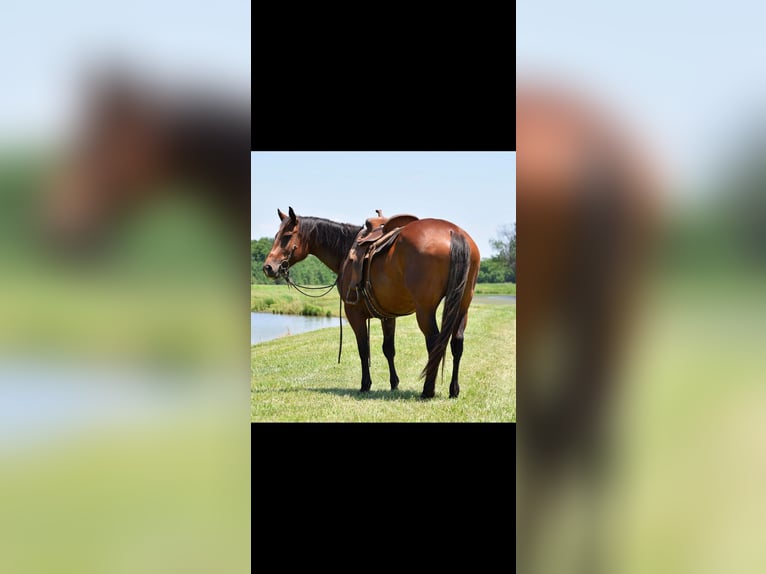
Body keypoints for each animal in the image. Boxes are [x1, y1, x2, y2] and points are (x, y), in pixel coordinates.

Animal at [262, 207, 481, 399]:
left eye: (286, 236)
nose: (268, 267)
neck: (345, 251)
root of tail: (453, 233)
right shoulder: (388, 315)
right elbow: (388, 349)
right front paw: (394, 383)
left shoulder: (354, 314)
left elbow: (363, 349)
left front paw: (365, 385)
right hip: (462, 306)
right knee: (456, 343)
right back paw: (454, 390)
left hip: (425, 311)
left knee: (435, 343)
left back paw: (428, 390)